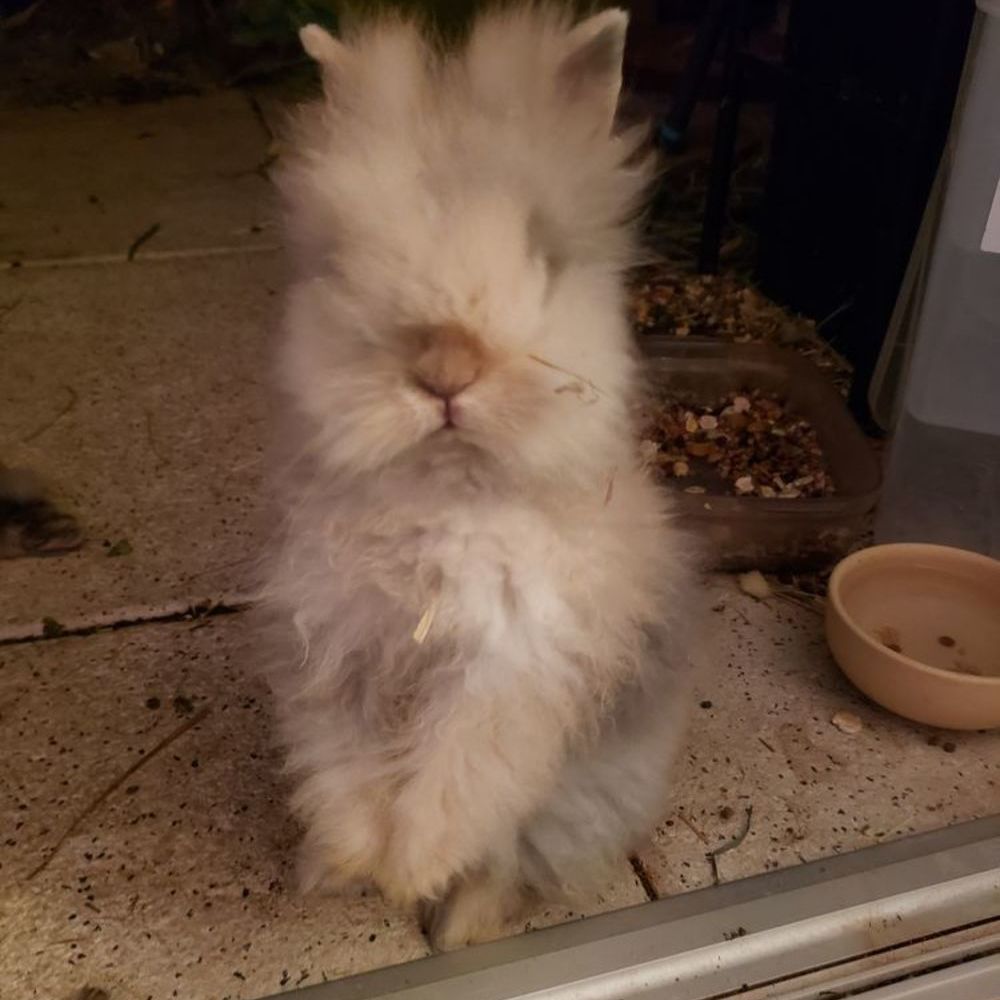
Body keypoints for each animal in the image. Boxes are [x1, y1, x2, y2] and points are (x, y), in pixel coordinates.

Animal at [261, 4, 703, 951]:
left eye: (542, 252)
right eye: (342, 261)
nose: (443, 373)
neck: (447, 501)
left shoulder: (512, 669)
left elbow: (458, 776)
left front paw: (412, 869)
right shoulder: (339, 658)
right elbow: (343, 770)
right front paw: (360, 858)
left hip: (581, 800)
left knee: (508, 865)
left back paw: (458, 929)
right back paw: (327, 876)